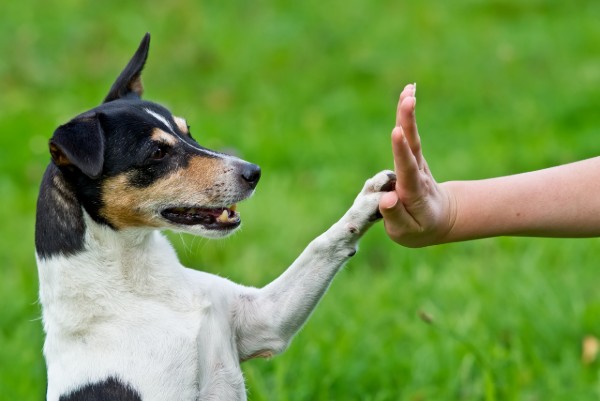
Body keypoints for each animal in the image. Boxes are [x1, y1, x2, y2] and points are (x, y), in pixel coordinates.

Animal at [35, 34, 396, 400]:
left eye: (188, 131)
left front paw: (371, 199)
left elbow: (321, 245)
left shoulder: (264, 320)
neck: (141, 285)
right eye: (157, 152)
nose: (254, 172)